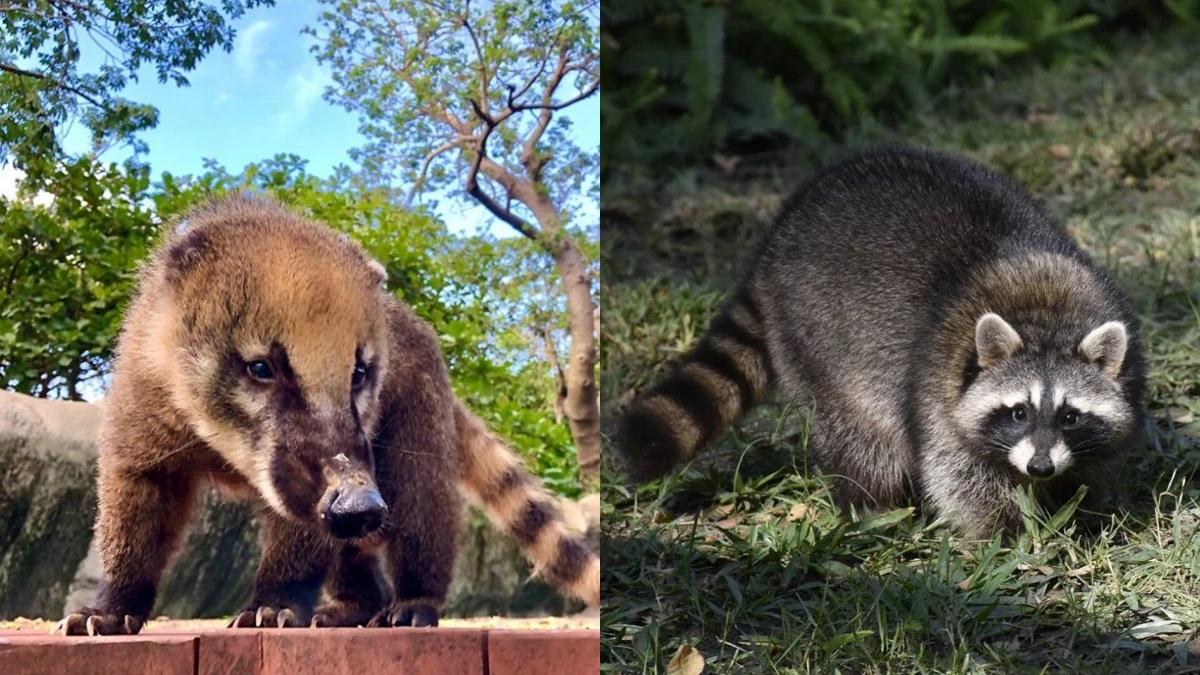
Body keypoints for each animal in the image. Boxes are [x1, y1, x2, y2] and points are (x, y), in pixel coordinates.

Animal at [56, 192, 600, 634]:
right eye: (261, 367)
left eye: (359, 373)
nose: (358, 503)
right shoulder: (145, 389)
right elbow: (139, 490)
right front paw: (112, 604)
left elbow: (308, 526)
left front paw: (276, 600)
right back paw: (356, 604)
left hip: (420, 403)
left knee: (419, 500)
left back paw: (414, 599)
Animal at [614, 145, 1147, 535]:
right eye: (1018, 412)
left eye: (1070, 415)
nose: (1039, 467)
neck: (1045, 316)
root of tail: (777, 238)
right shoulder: (937, 379)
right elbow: (958, 473)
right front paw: (1005, 530)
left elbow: (1096, 458)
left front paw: (1076, 503)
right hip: (813, 333)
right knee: (863, 435)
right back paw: (870, 505)